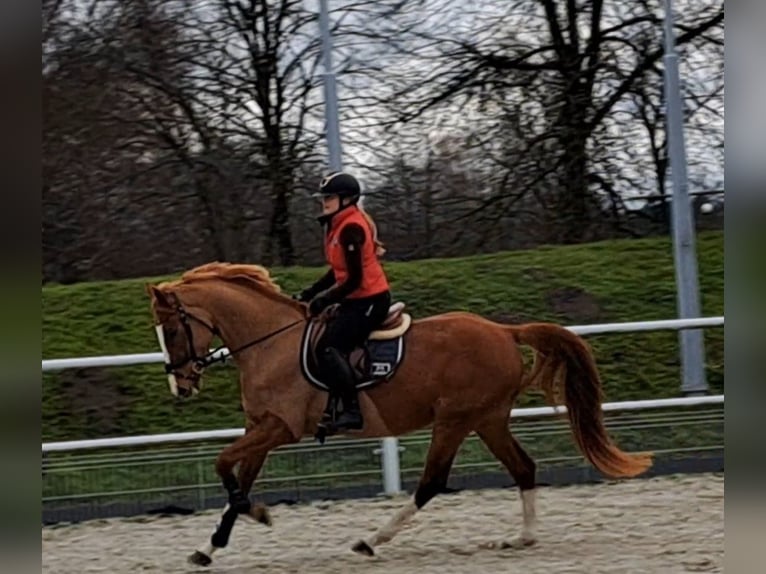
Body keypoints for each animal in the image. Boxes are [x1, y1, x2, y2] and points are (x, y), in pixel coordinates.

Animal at [147, 264, 652, 568]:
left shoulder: (279, 428)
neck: (270, 342)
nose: (180, 386)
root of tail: (503, 331)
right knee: (523, 468)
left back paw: (372, 539)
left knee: (432, 482)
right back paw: (521, 538)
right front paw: (209, 547)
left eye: (171, 329)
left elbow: (223, 467)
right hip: (487, 420)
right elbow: (237, 483)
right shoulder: (260, 428)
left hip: (454, 421)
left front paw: (258, 514)